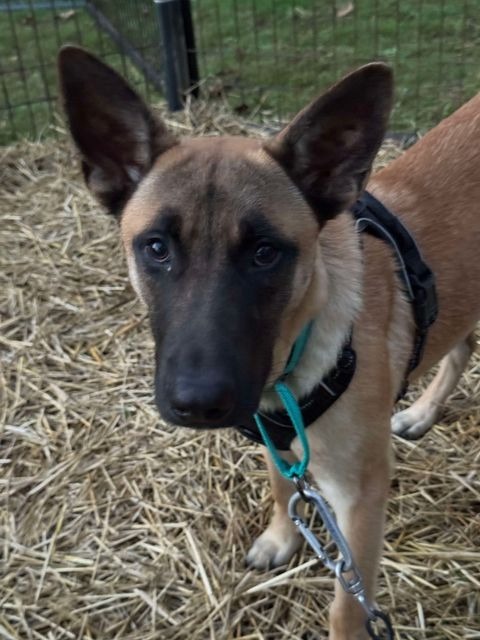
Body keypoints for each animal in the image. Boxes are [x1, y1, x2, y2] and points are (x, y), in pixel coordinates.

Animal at [59, 46, 480, 640]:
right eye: (157, 248)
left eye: (265, 253)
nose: (197, 403)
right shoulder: (274, 438)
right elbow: (284, 488)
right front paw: (281, 538)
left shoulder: (361, 499)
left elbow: (347, 607)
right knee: (462, 346)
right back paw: (423, 411)